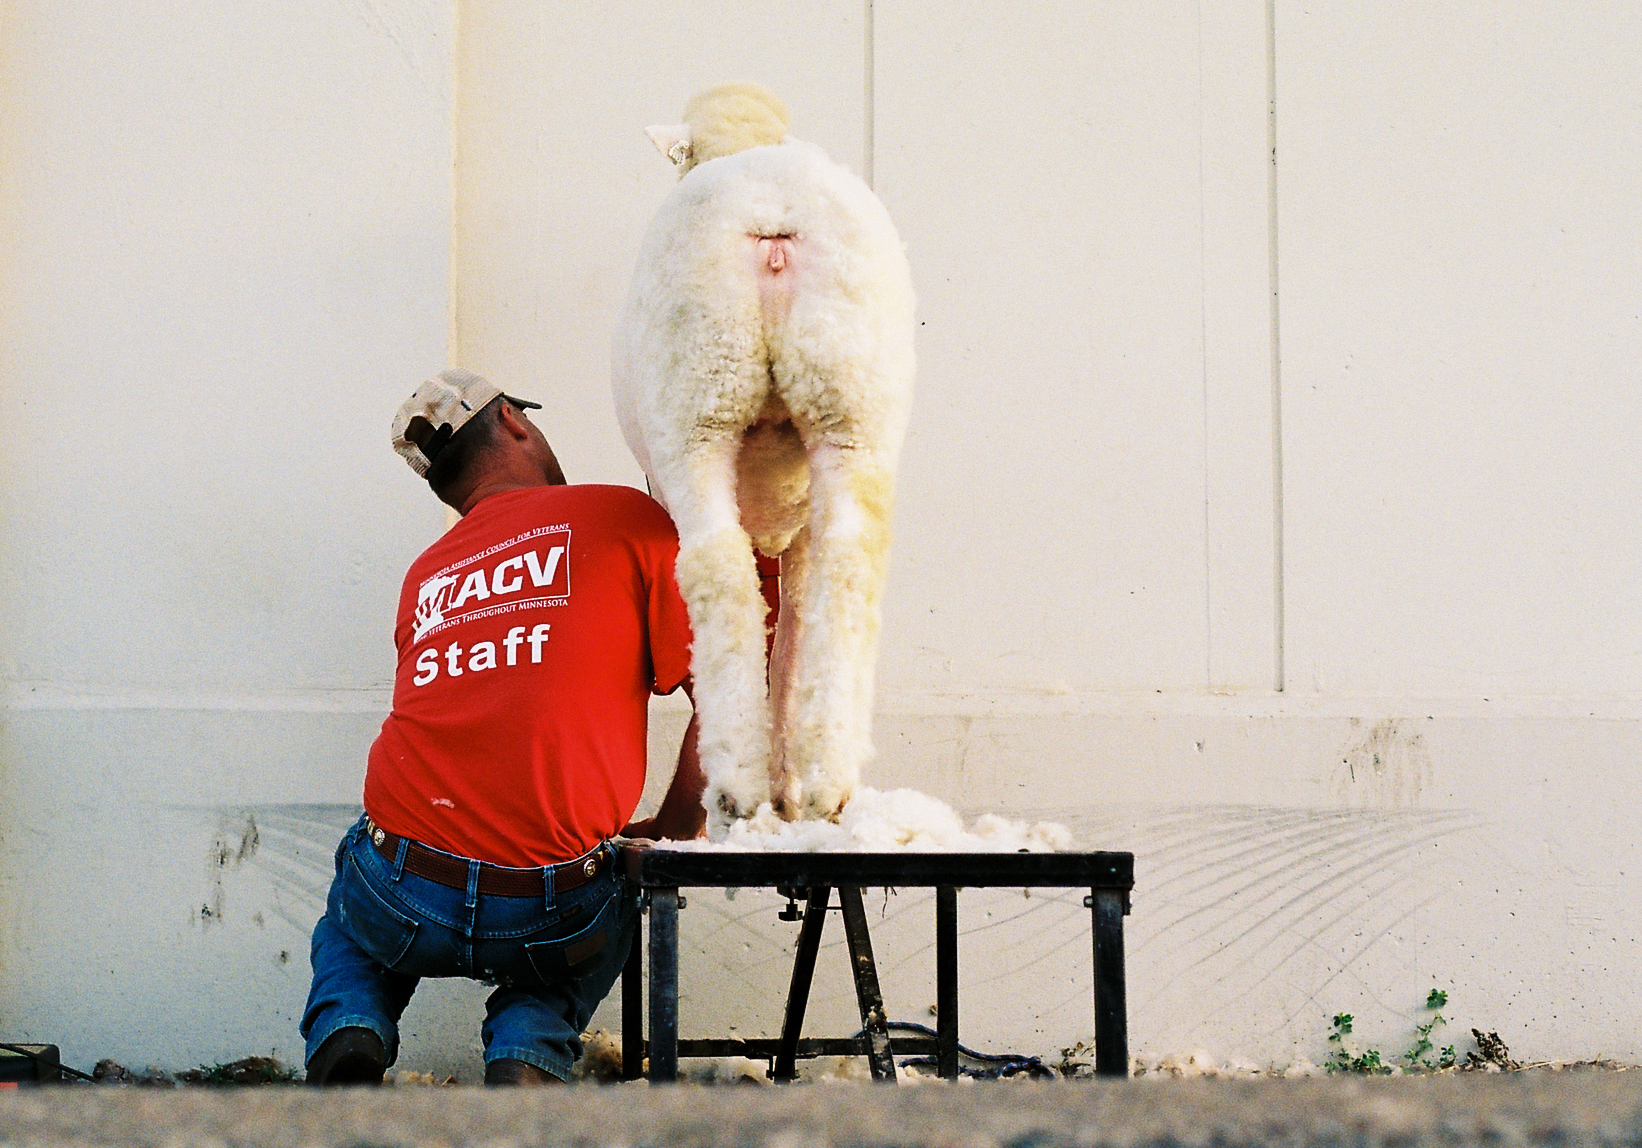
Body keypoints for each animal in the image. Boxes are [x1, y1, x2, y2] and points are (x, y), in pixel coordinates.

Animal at [617, 80, 919, 834]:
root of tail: (774, 222)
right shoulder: (801, 518)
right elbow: (790, 632)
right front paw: (792, 779)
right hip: (851, 401)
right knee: (848, 572)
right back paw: (825, 782)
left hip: (698, 404)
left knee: (718, 574)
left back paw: (737, 788)